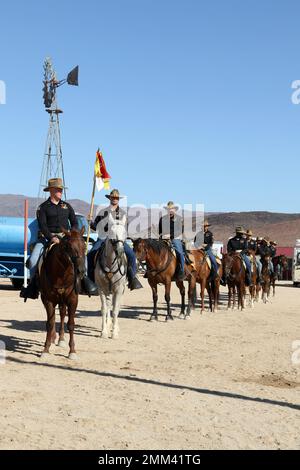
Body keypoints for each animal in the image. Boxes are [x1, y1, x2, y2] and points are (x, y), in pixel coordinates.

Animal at [38, 228, 85, 360]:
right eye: (69, 247)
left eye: (84, 246)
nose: (81, 270)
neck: (61, 275)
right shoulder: (47, 300)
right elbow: (50, 323)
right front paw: (46, 349)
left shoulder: (73, 300)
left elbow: (71, 324)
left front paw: (72, 351)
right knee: (55, 318)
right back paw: (53, 339)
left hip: (63, 300)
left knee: (63, 314)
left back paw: (61, 339)